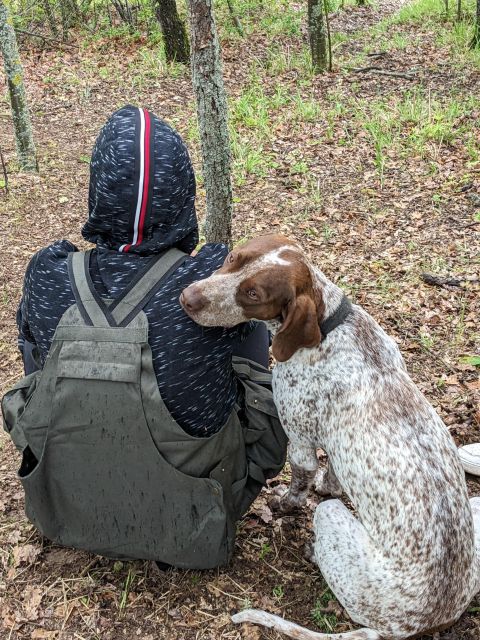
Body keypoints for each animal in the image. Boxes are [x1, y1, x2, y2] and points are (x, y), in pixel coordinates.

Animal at [180, 235, 480, 640]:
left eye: (253, 293)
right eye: (232, 258)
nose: (187, 297)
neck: (328, 323)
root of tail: (424, 622)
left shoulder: (300, 442)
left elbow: (299, 487)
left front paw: (283, 504)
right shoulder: (337, 448)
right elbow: (334, 476)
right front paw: (327, 483)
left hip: (330, 517)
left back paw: (313, 549)